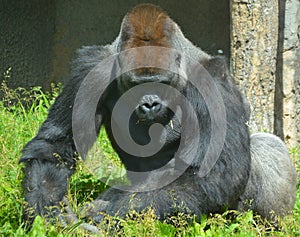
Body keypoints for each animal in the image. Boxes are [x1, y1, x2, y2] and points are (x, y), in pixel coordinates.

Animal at [19, 2, 298, 228]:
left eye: (161, 83)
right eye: (136, 85)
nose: (151, 103)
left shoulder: (213, 79)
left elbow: (216, 170)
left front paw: (108, 215)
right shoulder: (90, 70)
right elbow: (56, 145)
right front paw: (48, 211)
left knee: (265, 145)